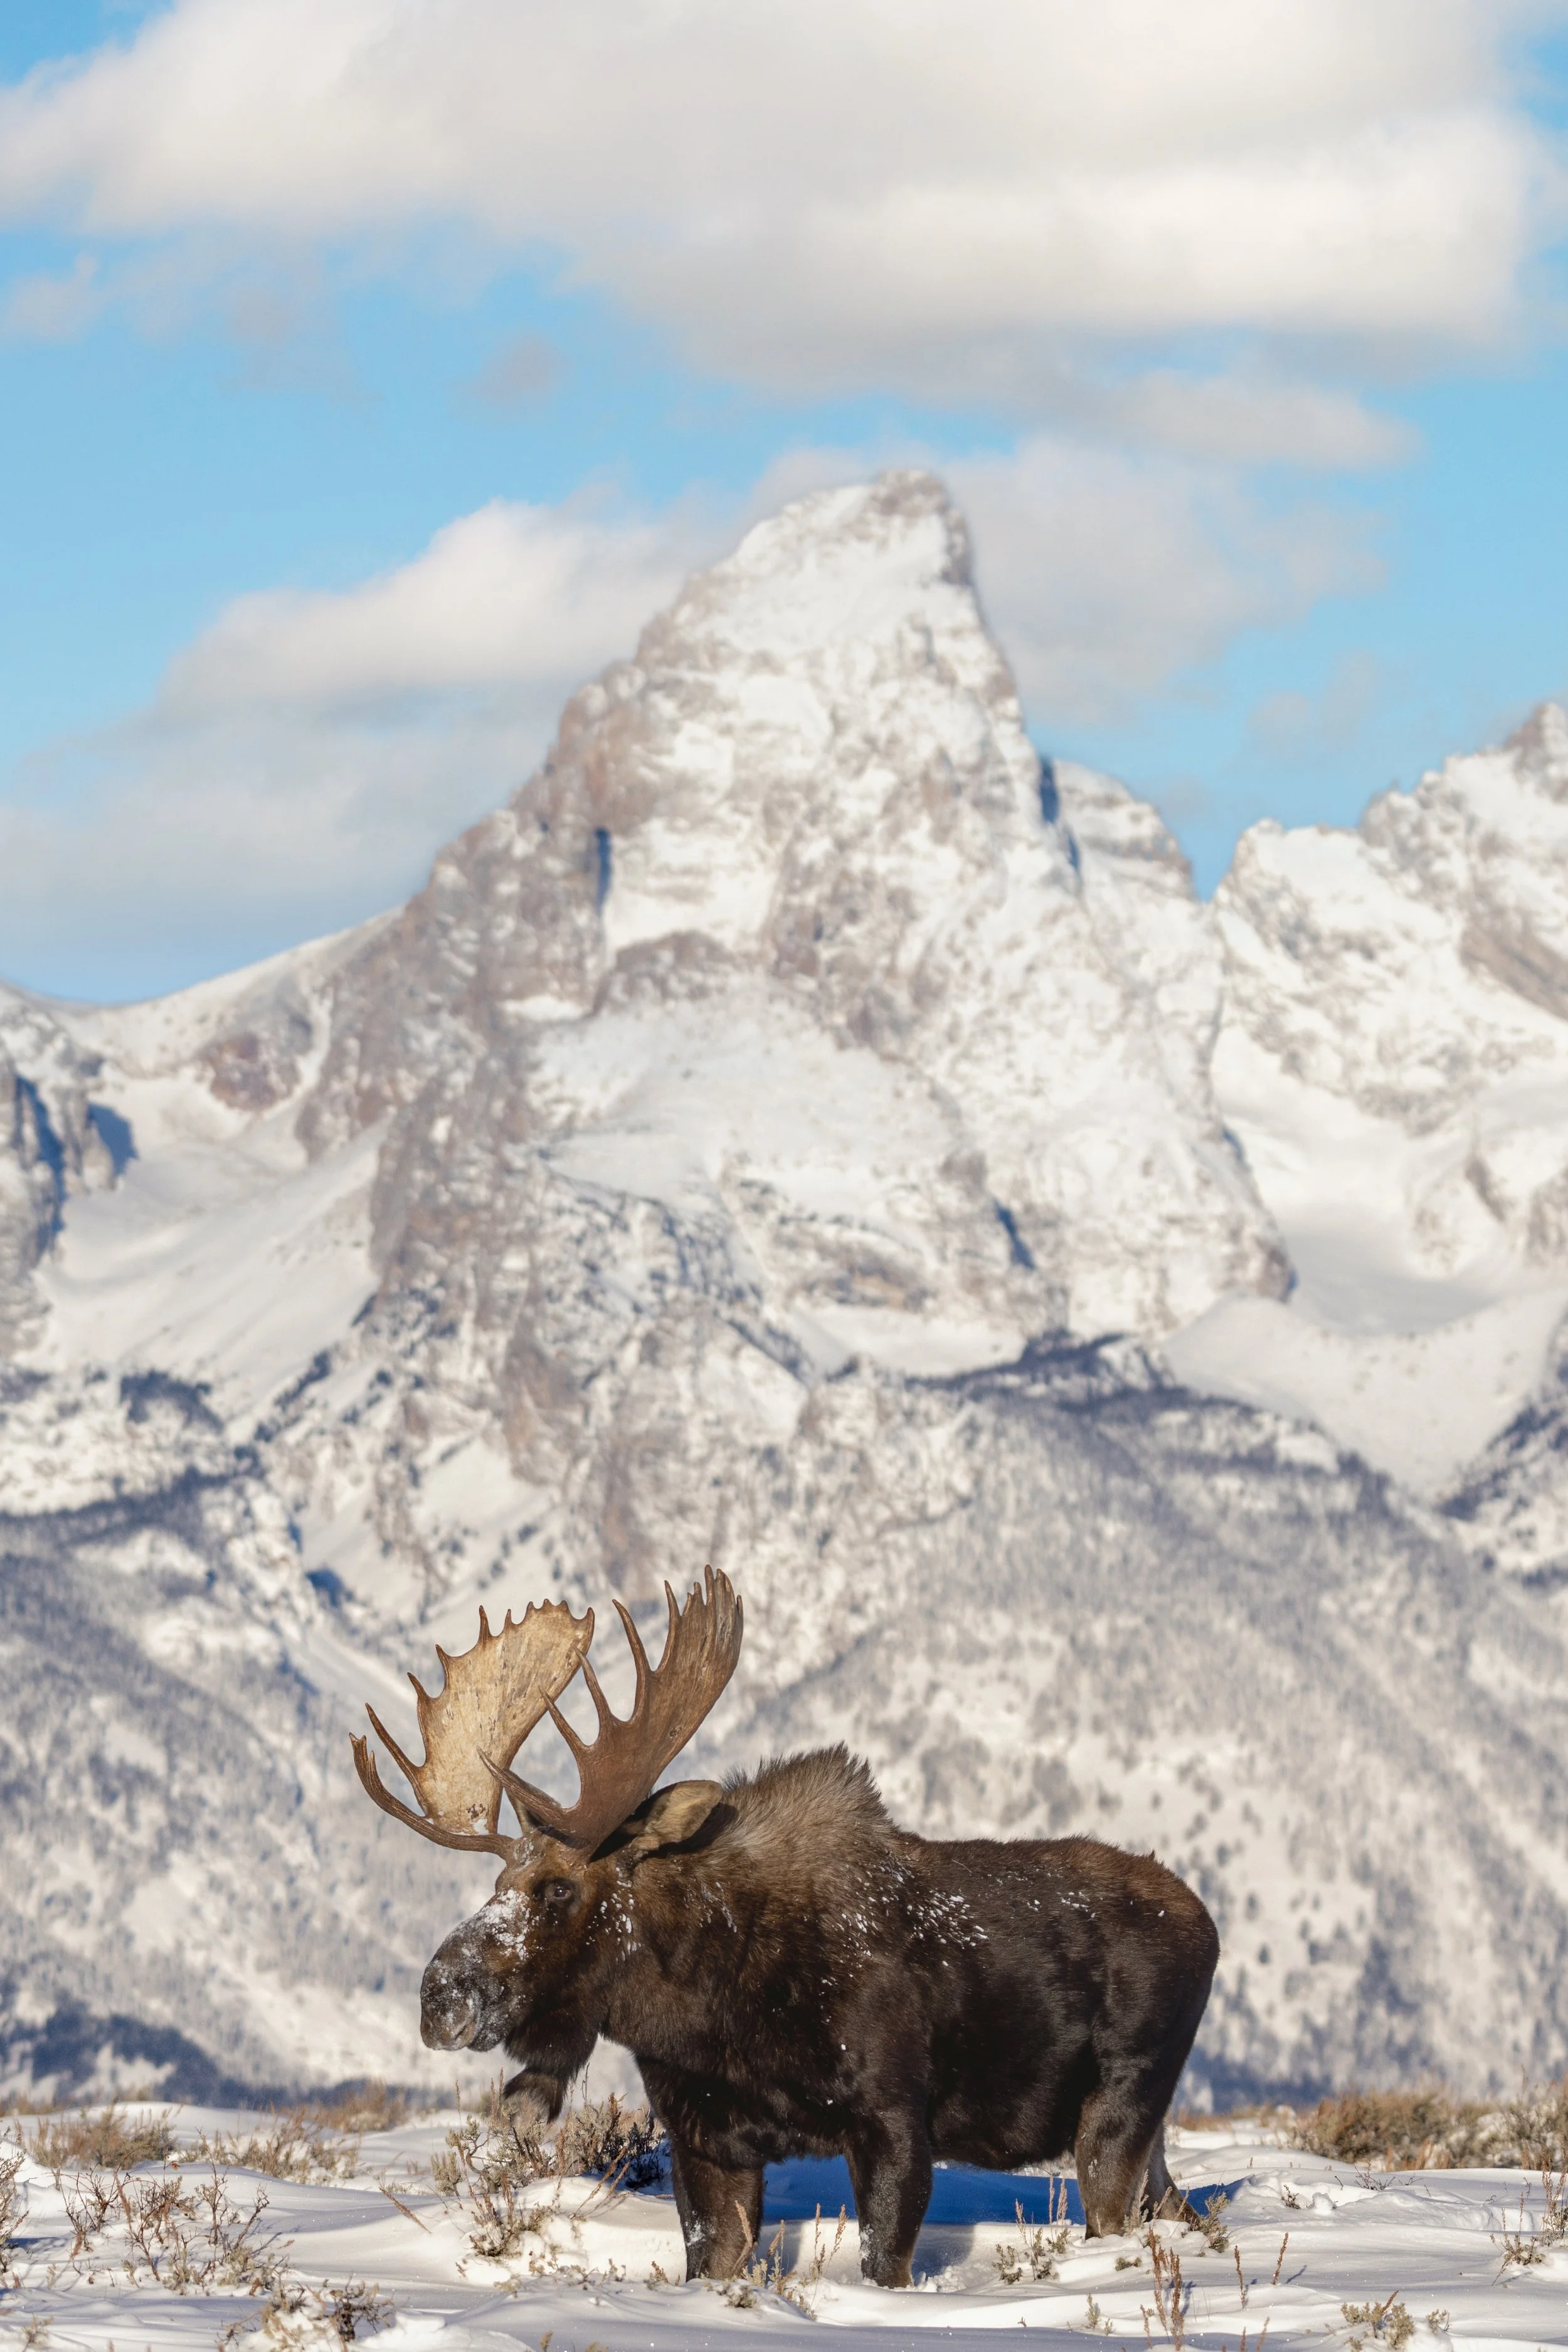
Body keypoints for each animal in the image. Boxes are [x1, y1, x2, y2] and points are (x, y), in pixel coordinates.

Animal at [354, 1567, 1219, 2288]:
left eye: (559, 1889)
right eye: (498, 1883)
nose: (438, 1997)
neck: (711, 2011)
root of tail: (1208, 1922)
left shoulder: (892, 2120)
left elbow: (882, 2264)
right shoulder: (705, 2139)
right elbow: (713, 2261)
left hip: (1120, 2106)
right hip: (1145, 2134)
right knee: (1179, 2208)